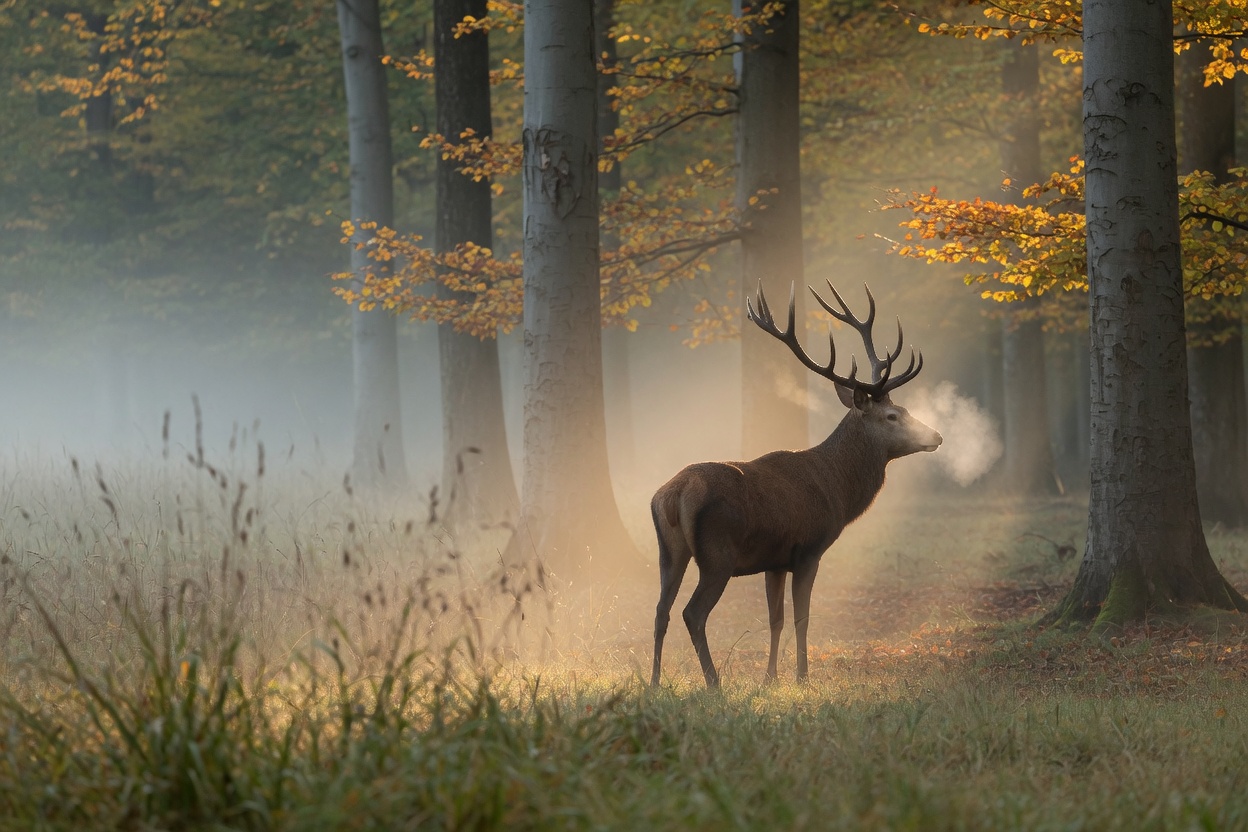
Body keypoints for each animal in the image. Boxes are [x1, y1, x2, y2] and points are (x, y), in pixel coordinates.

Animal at [650, 281, 942, 688]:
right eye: (892, 415)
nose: (937, 435)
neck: (838, 490)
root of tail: (673, 494)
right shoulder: (808, 549)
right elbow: (802, 617)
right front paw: (803, 676)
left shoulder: (774, 560)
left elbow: (776, 619)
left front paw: (770, 677)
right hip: (717, 554)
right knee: (692, 613)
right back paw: (713, 683)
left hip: (669, 551)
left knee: (660, 610)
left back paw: (654, 682)